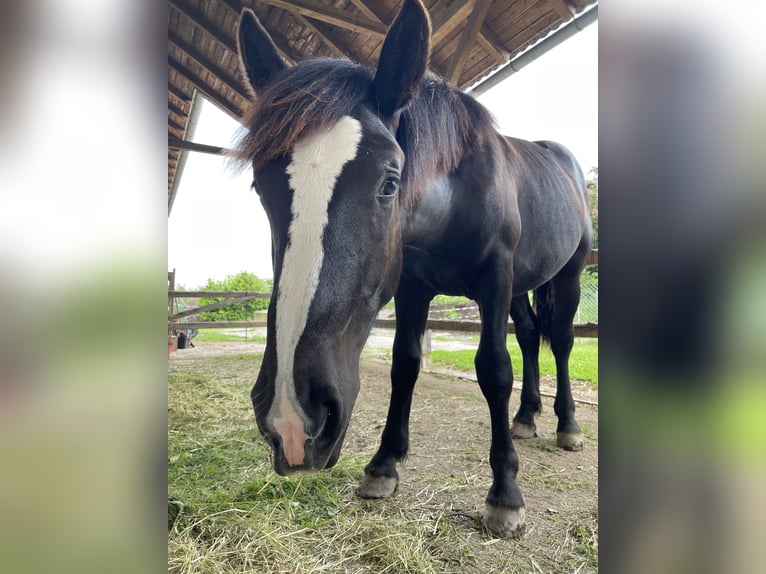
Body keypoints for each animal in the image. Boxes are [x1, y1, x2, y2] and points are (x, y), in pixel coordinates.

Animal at [234, 0, 592, 540]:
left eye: (389, 182)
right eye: (259, 187)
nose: (293, 420)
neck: (455, 197)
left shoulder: (494, 280)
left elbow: (494, 370)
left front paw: (505, 494)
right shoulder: (412, 289)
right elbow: (404, 364)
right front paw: (384, 465)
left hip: (565, 274)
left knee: (563, 341)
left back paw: (566, 426)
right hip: (519, 288)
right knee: (531, 336)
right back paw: (526, 417)